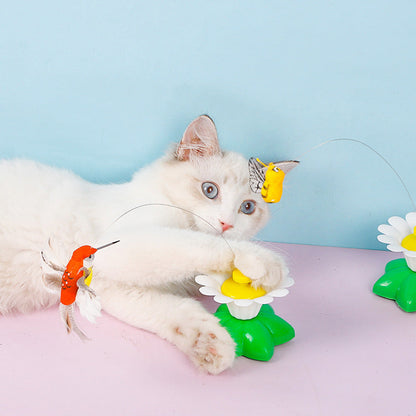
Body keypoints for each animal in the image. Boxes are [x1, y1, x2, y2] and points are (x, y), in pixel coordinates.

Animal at [0, 114, 290, 374]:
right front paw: (266, 262)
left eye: (248, 208)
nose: (226, 224)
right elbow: (198, 244)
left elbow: (178, 310)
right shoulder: (128, 244)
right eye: (210, 190)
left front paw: (211, 346)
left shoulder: (111, 288)